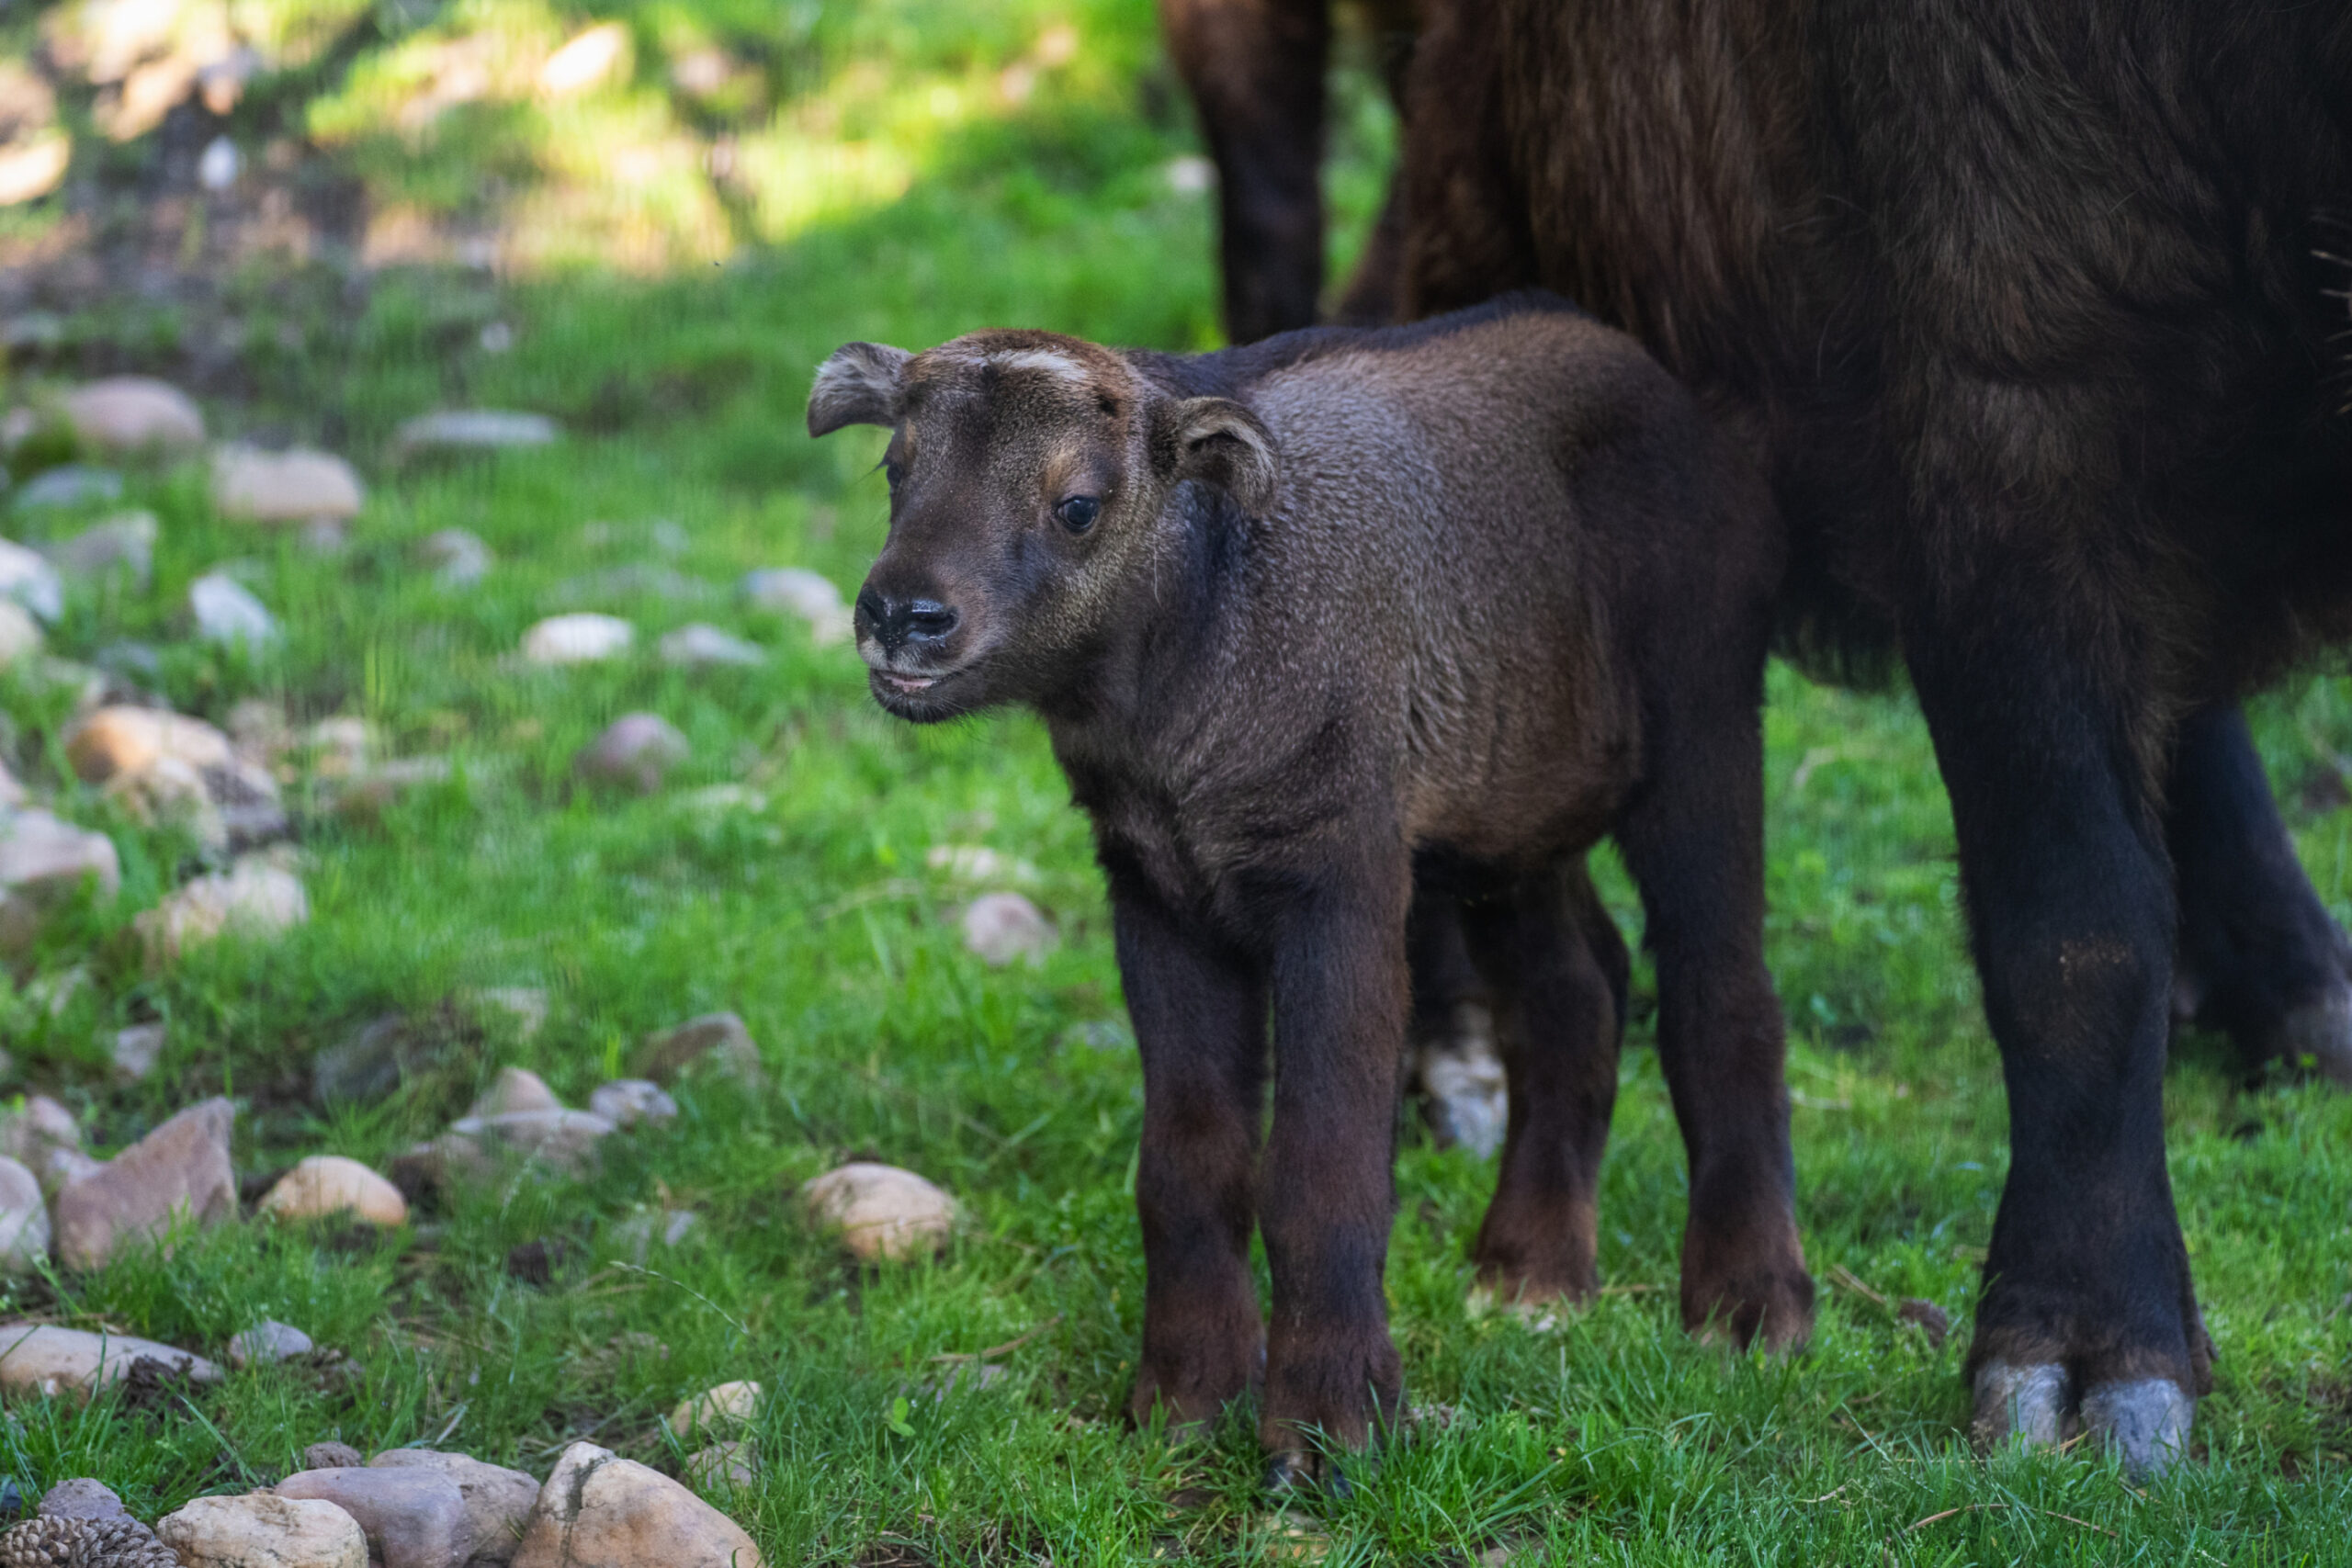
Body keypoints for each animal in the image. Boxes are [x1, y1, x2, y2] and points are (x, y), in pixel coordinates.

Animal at [813, 293, 1815, 1485]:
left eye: (1078, 505)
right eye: (896, 467)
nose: (900, 615)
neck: (1186, 658)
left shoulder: (1339, 880)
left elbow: (1321, 1169)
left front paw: (1330, 1431)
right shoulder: (1156, 891)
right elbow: (1188, 1165)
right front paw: (1180, 1401)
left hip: (1702, 724)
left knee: (1723, 989)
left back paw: (1749, 1305)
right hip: (1512, 825)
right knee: (1577, 989)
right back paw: (1530, 1274)